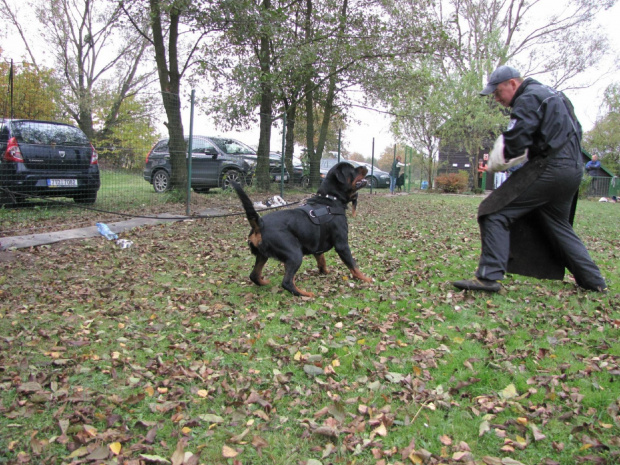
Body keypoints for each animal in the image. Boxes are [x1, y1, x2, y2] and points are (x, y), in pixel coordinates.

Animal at [234, 161, 372, 296]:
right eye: (352, 169)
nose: (365, 166)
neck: (330, 199)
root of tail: (259, 223)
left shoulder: (318, 247)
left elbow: (322, 261)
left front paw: (325, 272)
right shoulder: (342, 244)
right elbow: (353, 265)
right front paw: (366, 279)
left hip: (262, 255)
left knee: (254, 275)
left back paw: (265, 282)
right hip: (294, 254)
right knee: (286, 282)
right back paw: (306, 294)